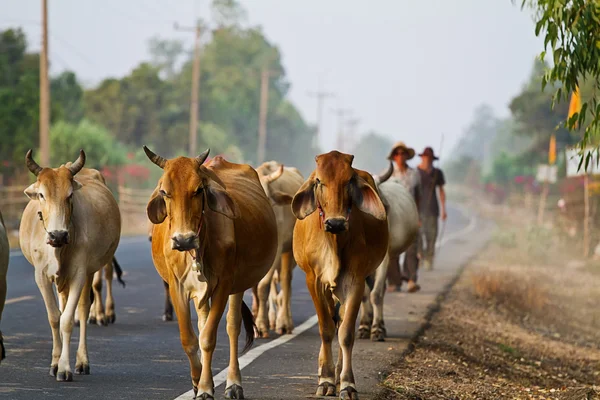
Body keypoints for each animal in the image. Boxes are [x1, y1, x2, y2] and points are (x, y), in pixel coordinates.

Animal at [18, 150, 120, 382]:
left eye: (70, 195)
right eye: (42, 195)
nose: (58, 235)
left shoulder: (79, 274)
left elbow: (67, 320)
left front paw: (64, 368)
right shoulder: (41, 276)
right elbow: (54, 317)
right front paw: (55, 363)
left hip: (91, 271)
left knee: (82, 309)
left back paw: (82, 361)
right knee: (64, 305)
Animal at [145, 147, 278, 400]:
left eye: (198, 190)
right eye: (165, 192)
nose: (183, 239)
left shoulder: (224, 285)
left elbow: (208, 338)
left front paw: (206, 387)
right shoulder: (177, 287)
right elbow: (190, 338)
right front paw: (198, 383)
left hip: (237, 285)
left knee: (232, 327)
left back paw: (234, 384)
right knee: (203, 322)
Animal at [292, 151, 390, 400]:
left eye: (349, 181)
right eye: (319, 181)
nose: (335, 222)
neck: (334, 241)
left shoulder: (355, 281)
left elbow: (345, 333)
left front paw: (346, 383)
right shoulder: (314, 281)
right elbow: (325, 329)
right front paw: (325, 380)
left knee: (341, 320)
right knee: (330, 320)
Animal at [358, 162, 420, 340]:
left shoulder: (383, 260)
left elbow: (376, 294)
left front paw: (377, 329)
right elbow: (364, 294)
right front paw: (364, 326)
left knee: (381, 290)